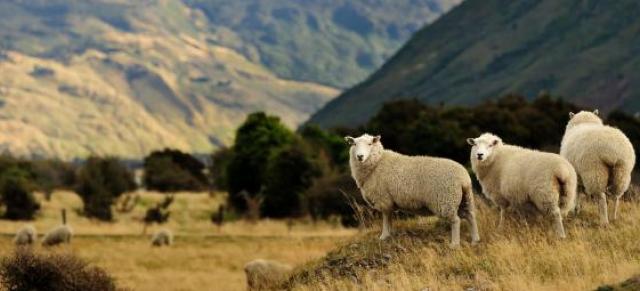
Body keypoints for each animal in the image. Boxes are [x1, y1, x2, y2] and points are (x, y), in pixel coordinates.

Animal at [344, 134, 480, 246]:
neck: (377, 163)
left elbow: (386, 218)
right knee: (471, 216)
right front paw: (390, 234)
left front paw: (384, 236)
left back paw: (454, 244)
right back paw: (475, 240)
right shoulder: (389, 202)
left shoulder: (383, 198)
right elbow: (390, 218)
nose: (360, 156)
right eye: (354, 144)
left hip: (446, 200)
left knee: (456, 221)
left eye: (369, 144)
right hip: (464, 198)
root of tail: (464, 178)